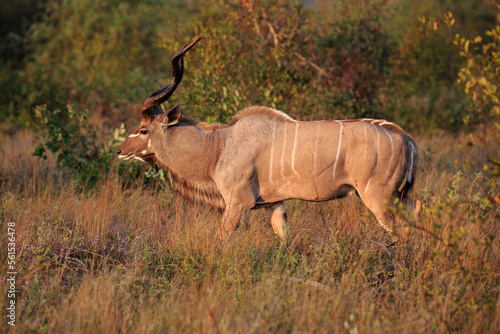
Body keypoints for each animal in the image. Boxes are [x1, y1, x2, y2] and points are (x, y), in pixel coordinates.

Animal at [119, 35, 420, 241]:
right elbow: (284, 237)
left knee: (403, 233)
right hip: (397, 197)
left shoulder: (238, 203)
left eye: (144, 130)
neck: (219, 146)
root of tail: (405, 138)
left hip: (378, 198)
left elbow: (221, 239)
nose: (121, 151)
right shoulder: (274, 205)